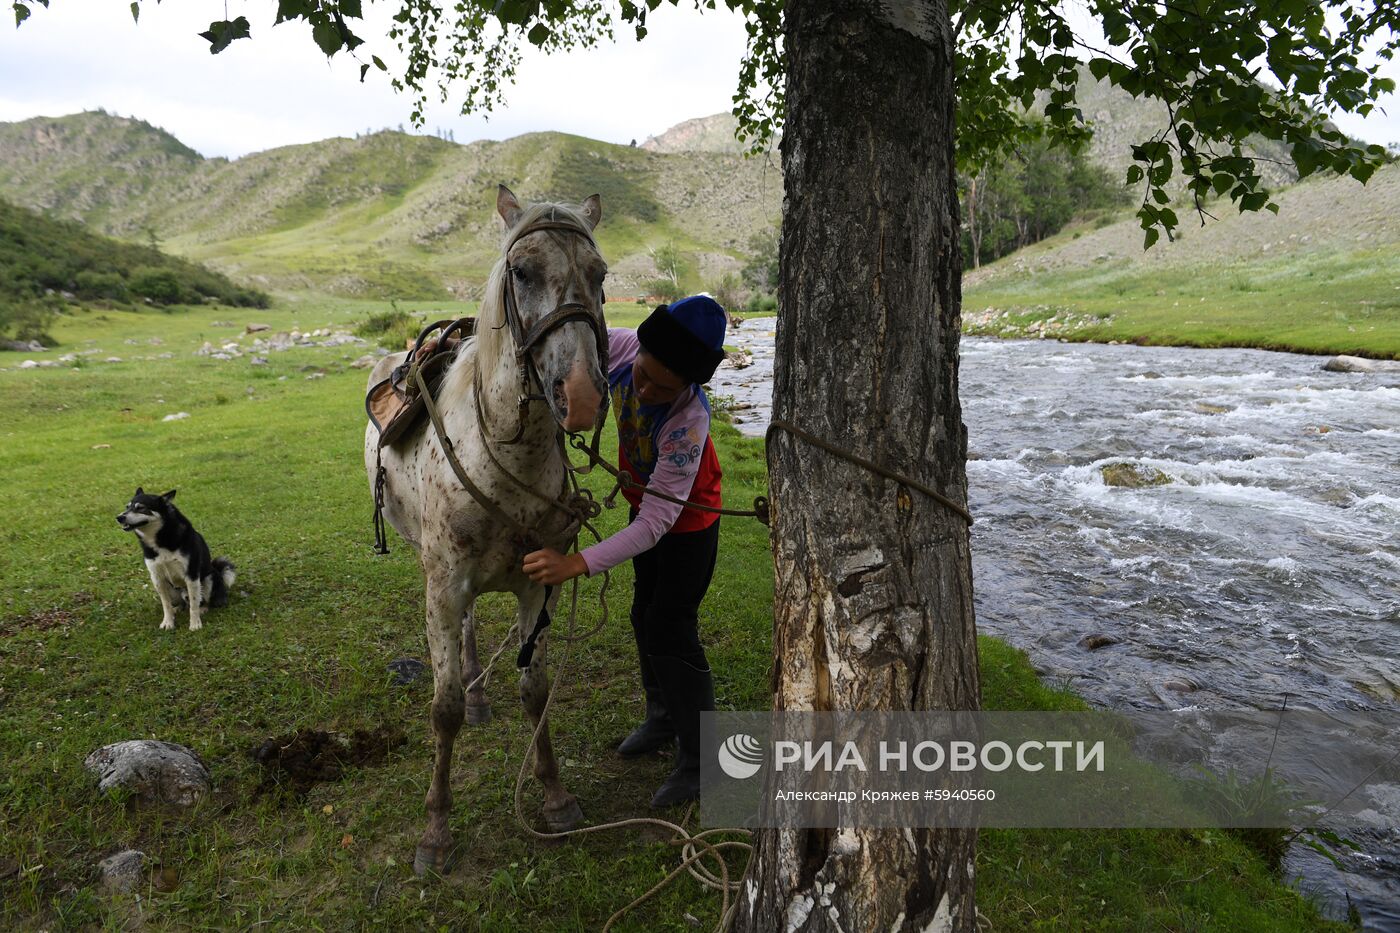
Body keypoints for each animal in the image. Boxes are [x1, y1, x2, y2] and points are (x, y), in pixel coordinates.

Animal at [116, 487, 235, 633]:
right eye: (127, 507)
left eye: (141, 508)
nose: (119, 517)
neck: (161, 538)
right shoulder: (157, 578)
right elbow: (165, 604)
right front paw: (168, 622)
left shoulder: (191, 575)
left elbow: (194, 604)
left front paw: (195, 624)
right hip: (171, 589)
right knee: (183, 603)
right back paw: (177, 609)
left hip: (208, 579)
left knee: (202, 601)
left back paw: (203, 609)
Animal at [369, 187, 610, 874]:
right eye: (521, 272)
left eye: (601, 275)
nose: (582, 395)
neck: (507, 455)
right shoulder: (444, 585)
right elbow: (443, 708)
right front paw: (435, 832)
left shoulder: (539, 584)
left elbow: (536, 689)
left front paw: (555, 797)